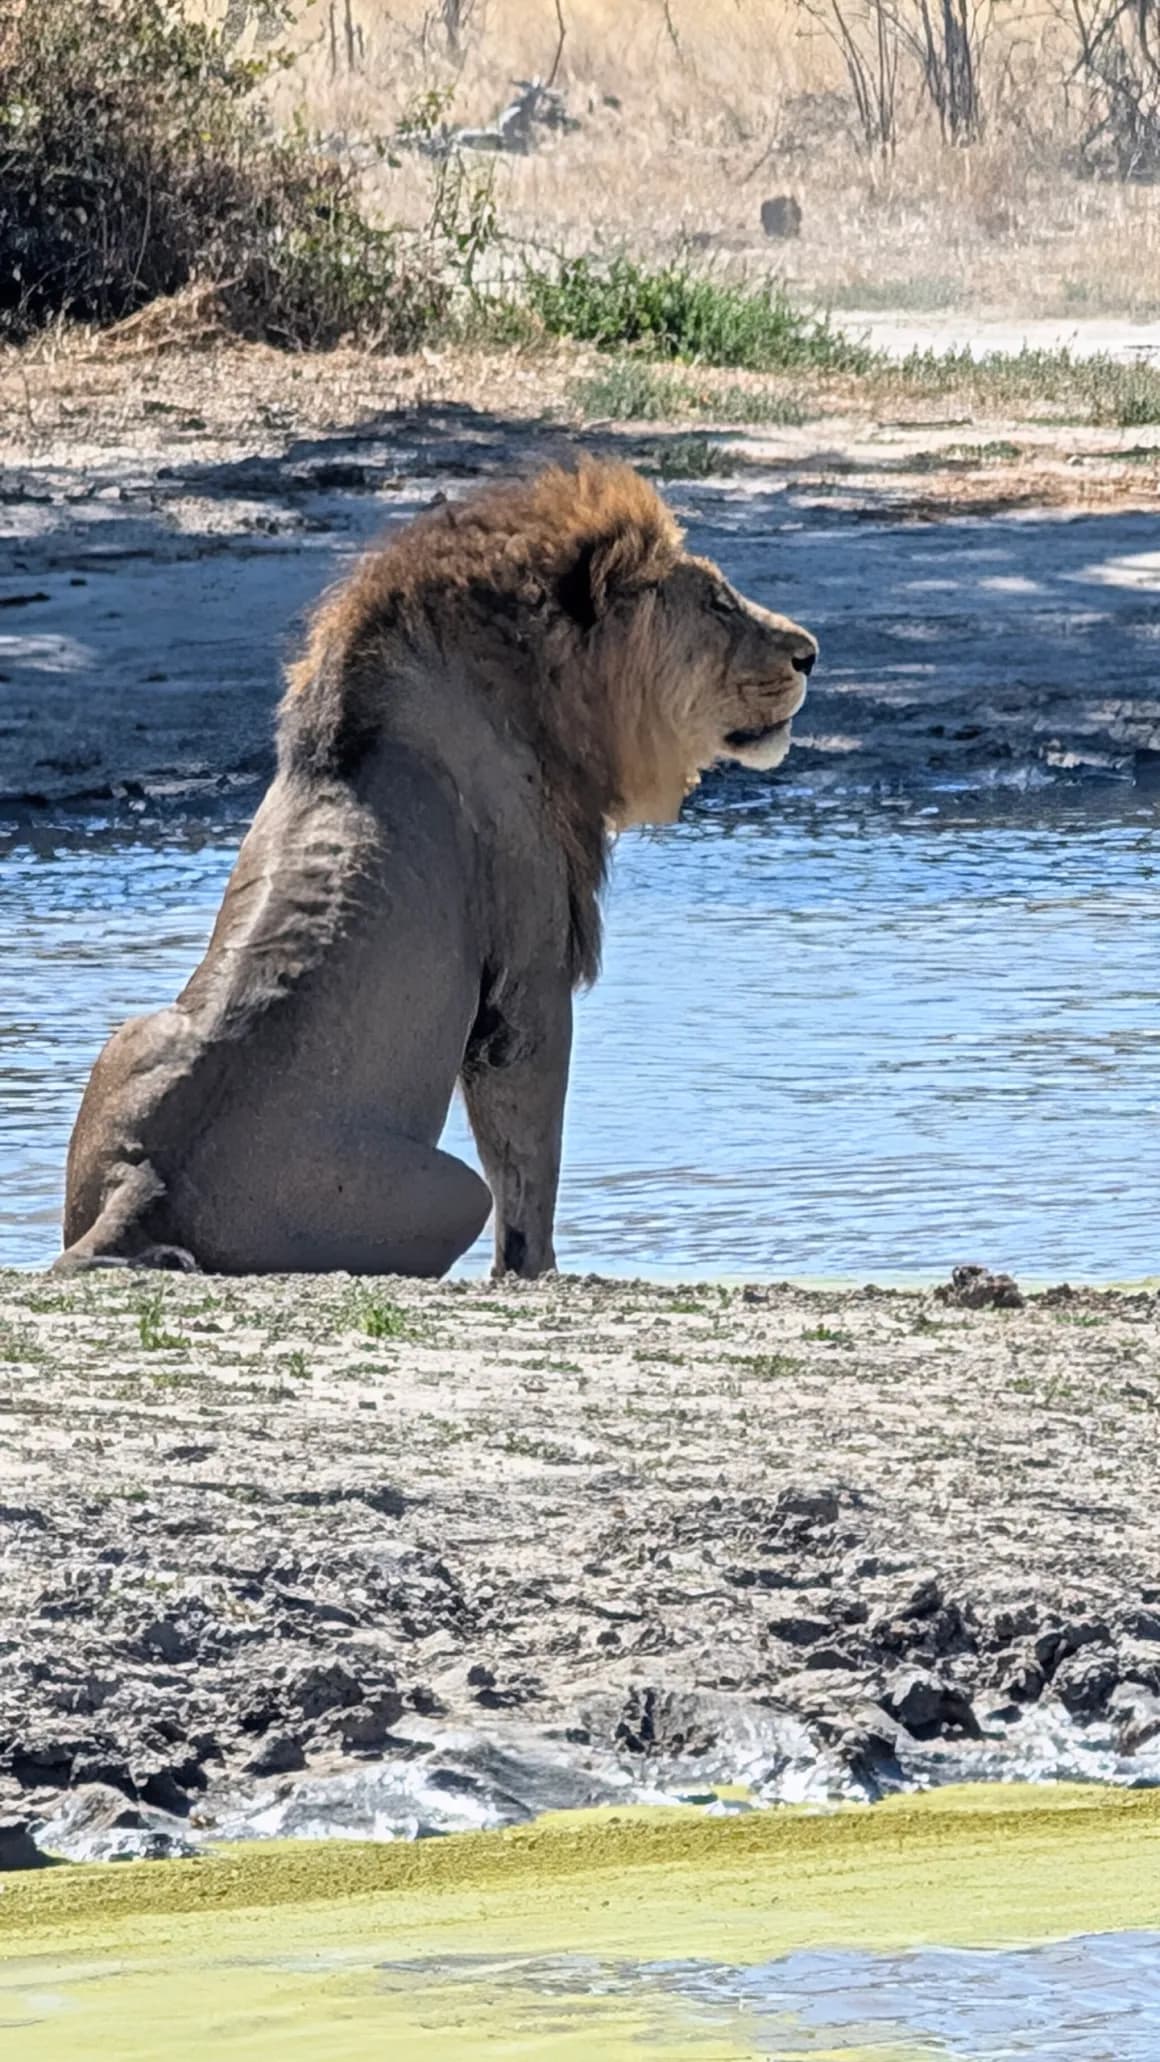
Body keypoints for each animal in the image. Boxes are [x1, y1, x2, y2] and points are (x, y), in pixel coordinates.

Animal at [55, 460, 817, 1280]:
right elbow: (528, 1162)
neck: (541, 698)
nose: (810, 652)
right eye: (716, 603)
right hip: (448, 1195)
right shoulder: (527, 980)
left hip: (124, 1038)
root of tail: (141, 1192)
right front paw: (537, 1274)